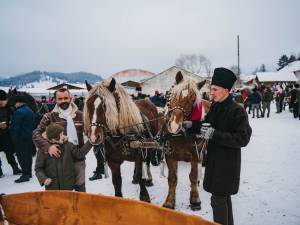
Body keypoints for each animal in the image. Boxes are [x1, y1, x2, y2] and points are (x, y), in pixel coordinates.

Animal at [162, 71, 211, 210]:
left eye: (193, 100)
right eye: (172, 95)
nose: (174, 126)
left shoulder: (196, 154)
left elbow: (193, 176)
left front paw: (195, 200)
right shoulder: (170, 155)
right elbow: (172, 178)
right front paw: (169, 201)